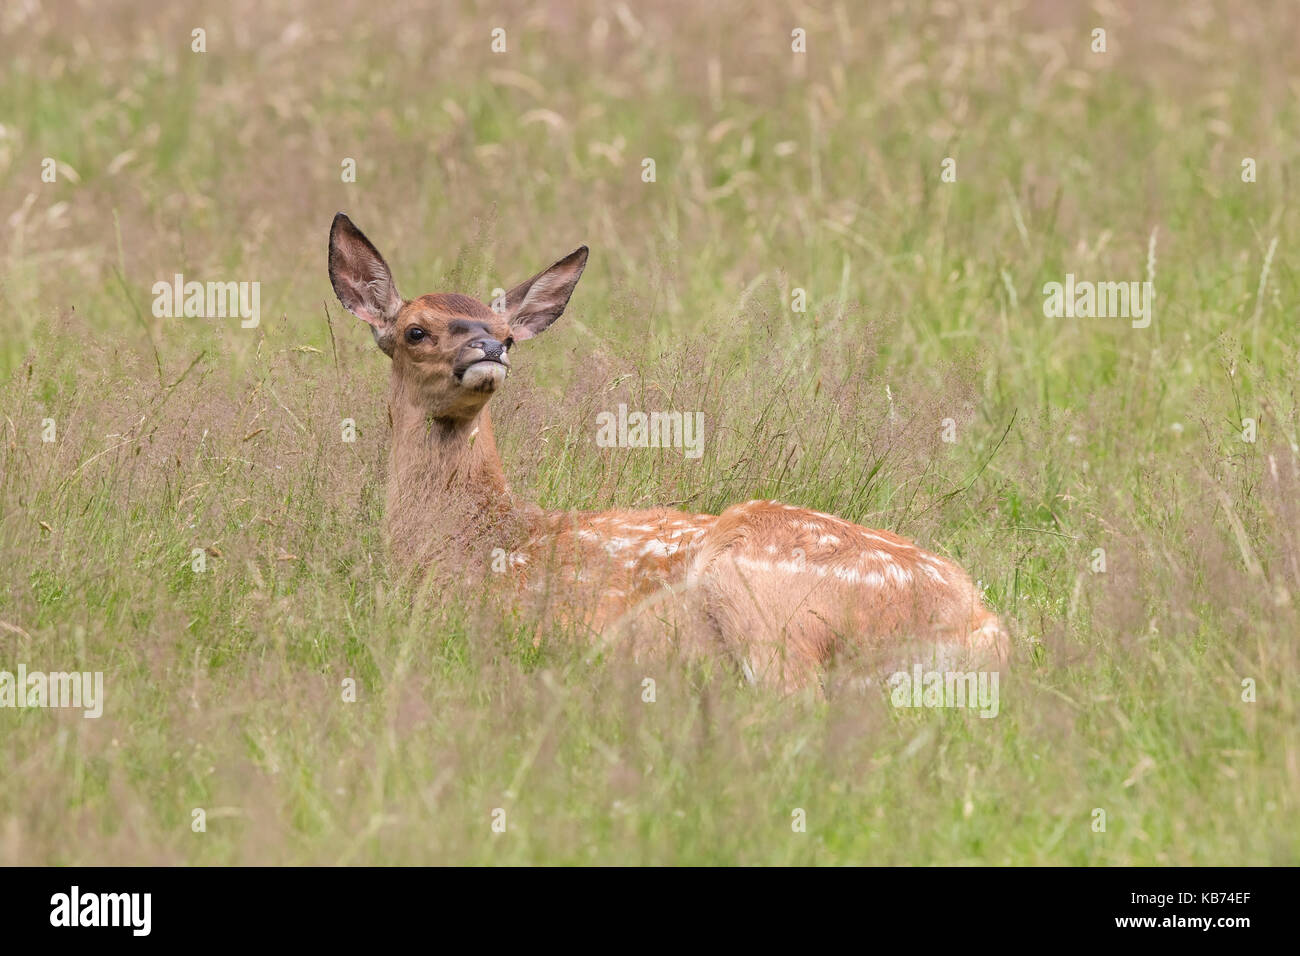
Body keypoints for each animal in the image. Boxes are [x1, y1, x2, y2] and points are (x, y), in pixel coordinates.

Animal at [328, 213, 1010, 692]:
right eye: (415, 330)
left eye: (508, 336)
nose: (488, 350)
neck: (472, 545)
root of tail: (980, 627)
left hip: (762, 598)